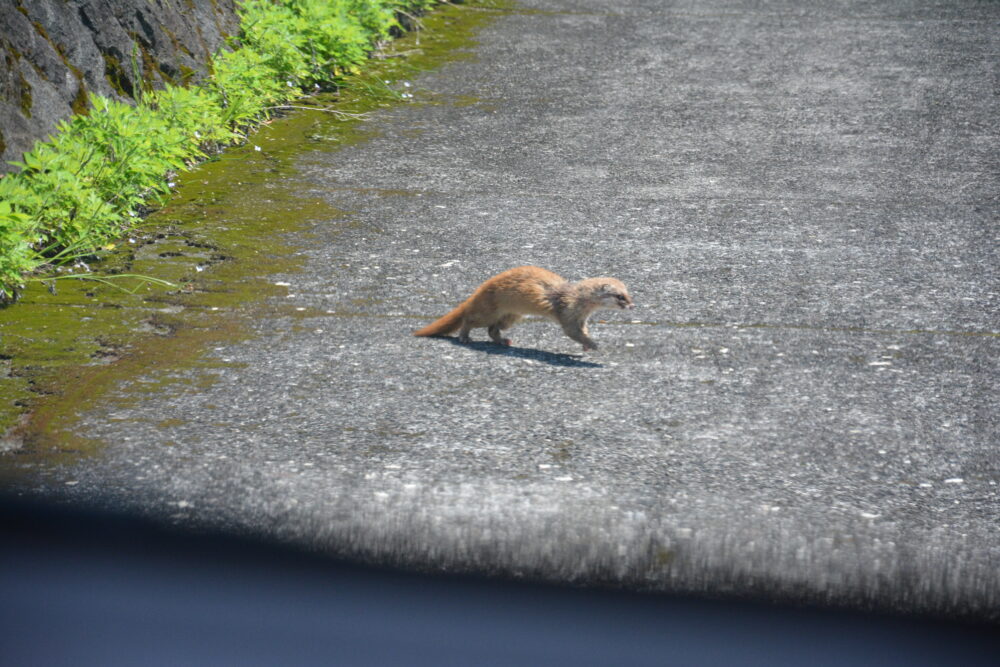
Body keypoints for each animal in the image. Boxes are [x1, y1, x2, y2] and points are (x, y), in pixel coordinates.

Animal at [412, 264, 632, 352]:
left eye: (629, 293)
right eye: (620, 296)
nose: (632, 305)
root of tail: (481, 289)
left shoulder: (581, 318)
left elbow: (582, 331)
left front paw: (587, 345)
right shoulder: (567, 312)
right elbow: (572, 332)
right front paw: (593, 344)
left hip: (512, 315)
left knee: (493, 329)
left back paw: (504, 341)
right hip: (489, 310)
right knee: (470, 319)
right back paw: (465, 337)